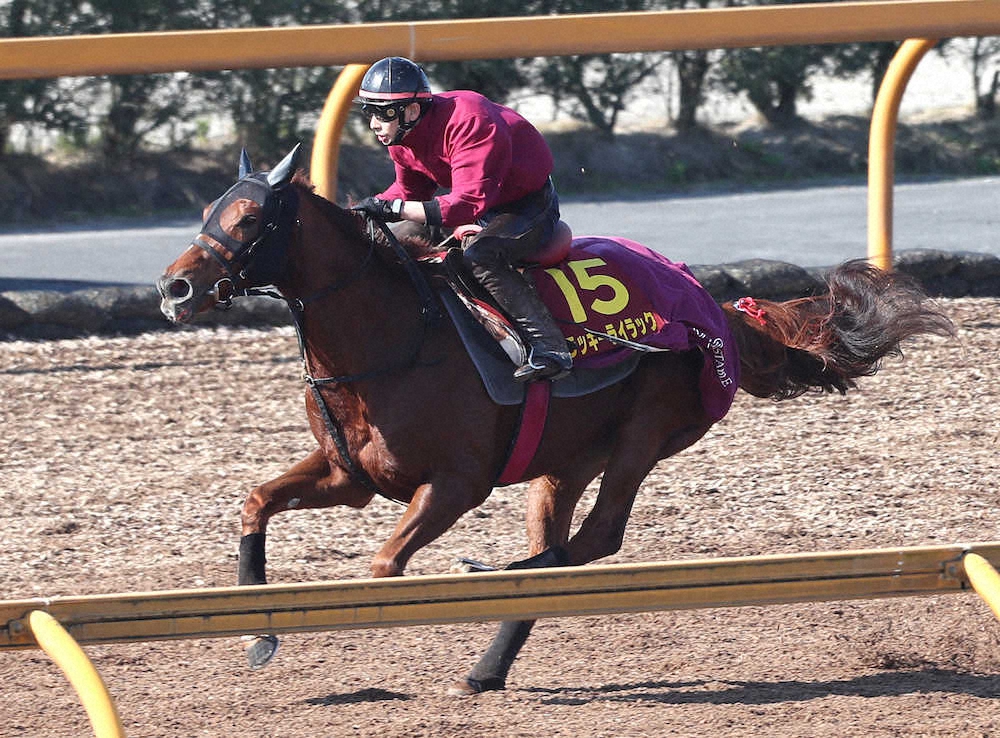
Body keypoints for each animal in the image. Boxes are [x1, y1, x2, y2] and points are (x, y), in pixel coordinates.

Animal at [157, 146, 954, 695]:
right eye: (207, 211)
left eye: (250, 218)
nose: (176, 288)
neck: (390, 336)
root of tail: (718, 307)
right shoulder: (350, 476)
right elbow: (255, 503)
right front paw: (259, 637)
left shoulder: (457, 484)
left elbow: (385, 566)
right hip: (564, 462)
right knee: (561, 549)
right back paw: (488, 660)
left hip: (641, 438)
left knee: (592, 542)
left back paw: (496, 578)